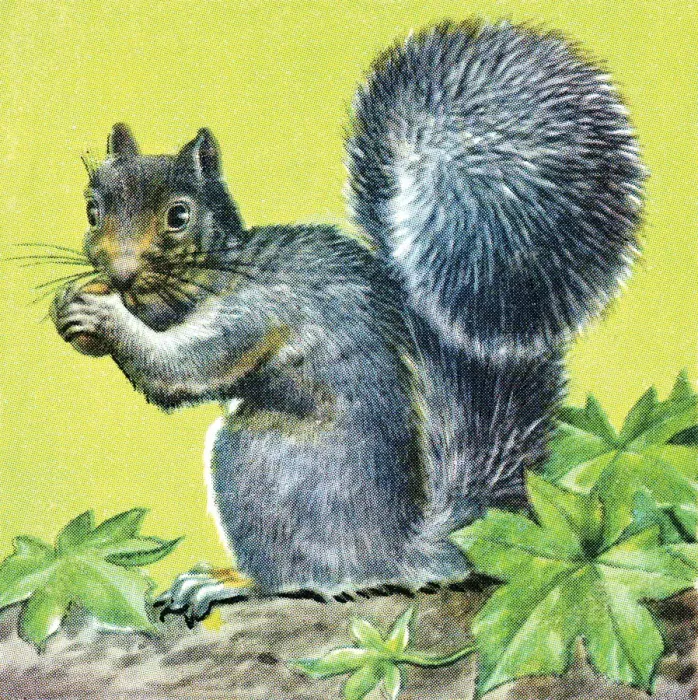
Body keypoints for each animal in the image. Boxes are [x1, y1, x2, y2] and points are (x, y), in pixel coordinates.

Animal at [51, 20, 645, 623]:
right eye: (92, 209)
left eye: (178, 215)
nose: (120, 272)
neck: (219, 267)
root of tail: (395, 549)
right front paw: (72, 309)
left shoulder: (260, 309)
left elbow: (185, 368)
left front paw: (106, 317)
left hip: (263, 464)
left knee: (297, 574)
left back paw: (231, 580)